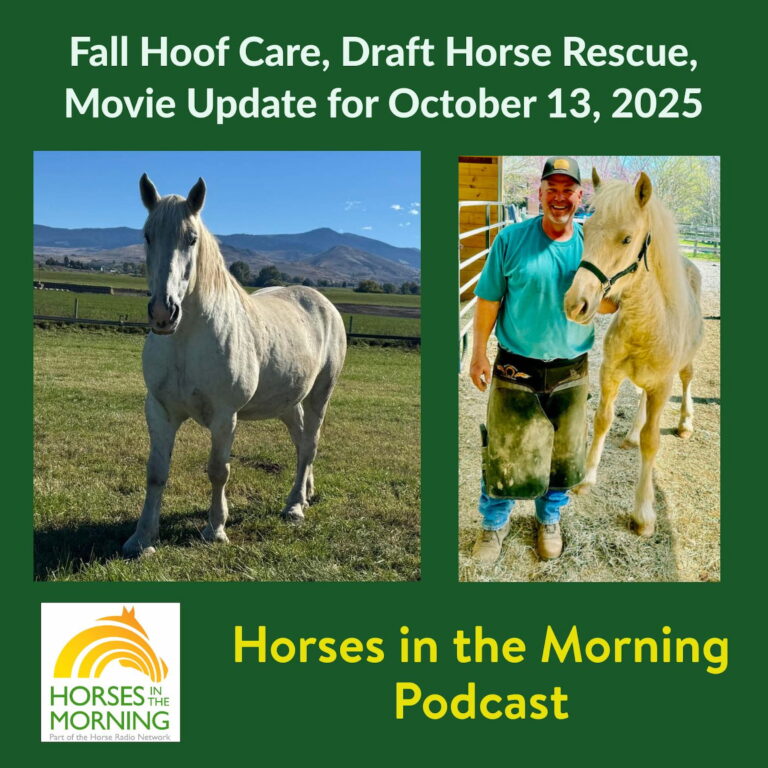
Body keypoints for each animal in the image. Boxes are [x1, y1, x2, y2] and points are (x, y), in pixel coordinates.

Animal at [122, 174, 347, 557]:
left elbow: (218, 470)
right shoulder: (160, 411)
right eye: (147, 235)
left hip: (321, 393)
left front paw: (215, 529)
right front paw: (141, 539)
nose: (164, 313)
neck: (186, 340)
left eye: (192, 238)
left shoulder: (225, 416)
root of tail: (321, 301)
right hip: (287, 402)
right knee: (301, 441)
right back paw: (305, 493)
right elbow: (156, 472)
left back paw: (294, 506)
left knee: (310, 443)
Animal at [563, 169, 703, 537]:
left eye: (627, 239)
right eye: (585, 230)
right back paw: (630, 435)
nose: (575, 304)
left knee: (687, 381)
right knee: (640, 401)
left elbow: (652, 441)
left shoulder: (663, 386)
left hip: (683, 366)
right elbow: (602, 420)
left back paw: (685, 423)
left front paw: (643, 513)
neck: (646, 323)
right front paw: (586, 478)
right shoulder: (610, 374)